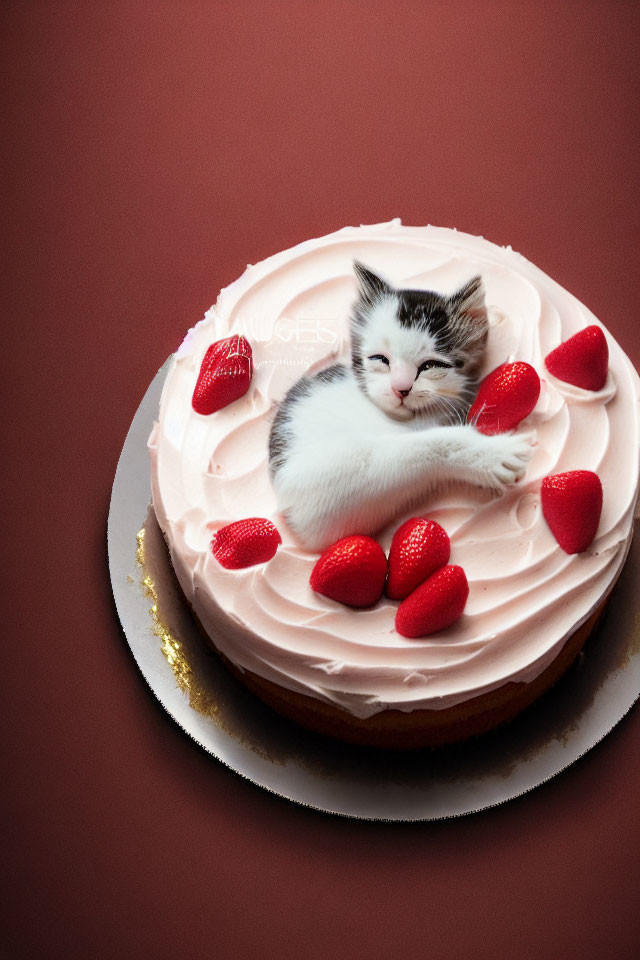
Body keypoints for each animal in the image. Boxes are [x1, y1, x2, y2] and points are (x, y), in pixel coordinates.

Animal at [268, 260, 532, 548]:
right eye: (380, 359)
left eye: (431, 365)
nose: (401, 388)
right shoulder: (306, 489)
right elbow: (412, 446)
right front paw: (489, 454)